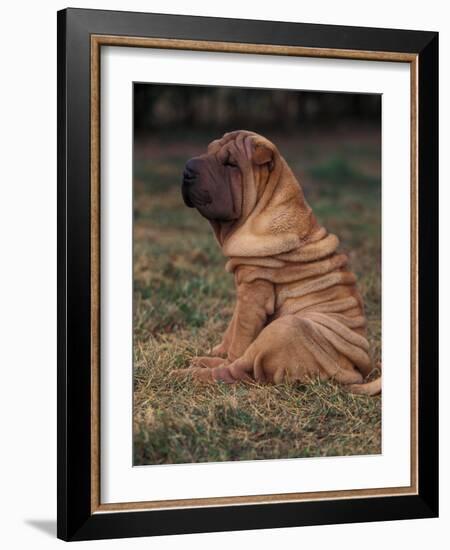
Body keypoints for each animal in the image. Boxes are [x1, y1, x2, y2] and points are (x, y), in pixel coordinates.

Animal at [178, 130, 382, 396]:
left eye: (231, 164)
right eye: (208, 151)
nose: (187, 169)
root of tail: (355, 373)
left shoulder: (254, 292)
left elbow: (240, 337)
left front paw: (223, 357)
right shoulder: (244, 290)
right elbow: (232, 328)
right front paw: (218, 351)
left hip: (285, 328)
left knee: (239, 370)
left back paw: (189, 373)